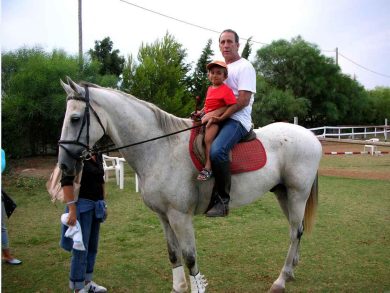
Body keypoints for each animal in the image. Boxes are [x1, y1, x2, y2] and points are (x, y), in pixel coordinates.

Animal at [57, 78, 320, 292]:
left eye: (75, 119)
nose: (64, 166)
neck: (161, 148)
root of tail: (310, 135)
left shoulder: (180, 216)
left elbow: (190, 257)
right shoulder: (164, 216)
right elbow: (174, 254)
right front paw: (179, 287)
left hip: (297, 194)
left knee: (295, 231)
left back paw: (281, 280)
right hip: (283, 194)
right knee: (297, 230)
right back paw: (291, 270)